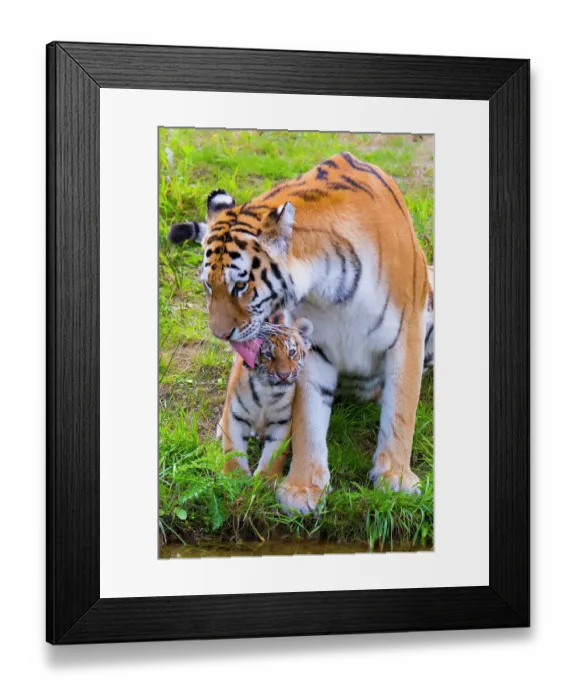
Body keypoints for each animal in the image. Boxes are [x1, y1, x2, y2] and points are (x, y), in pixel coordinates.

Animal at [217, 313, 313, 480]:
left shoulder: (281, 421)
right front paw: (235, 478)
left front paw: (266, 479)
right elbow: (233, 450)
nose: (284, 375)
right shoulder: (236, 415)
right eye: (268, 354)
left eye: (292, 353)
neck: (267, 391)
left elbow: (274, 454)